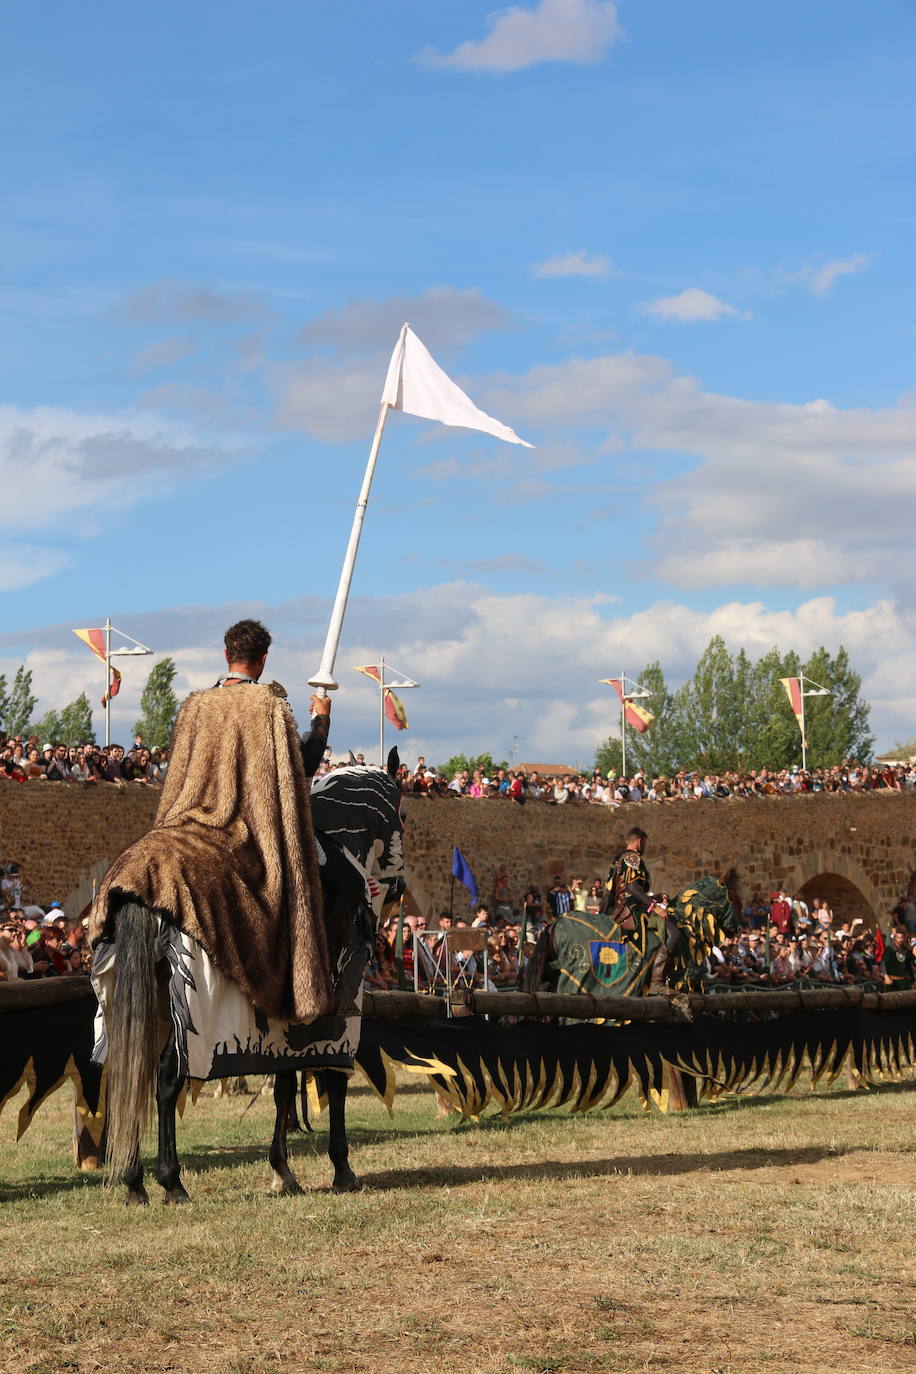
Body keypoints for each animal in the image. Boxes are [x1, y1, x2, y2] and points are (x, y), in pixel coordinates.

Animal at [98, 752, 403, 1203]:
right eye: (403, 809)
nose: (398, 888)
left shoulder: (286, 1022)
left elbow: (284, 1085)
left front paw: (283, 1170)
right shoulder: (343, 1018)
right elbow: (334, 1081)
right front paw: (341, 1168)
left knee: (131, 1073)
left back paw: (134, 1182)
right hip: (188, 1010)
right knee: (166, 1076)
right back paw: (171, 1181)